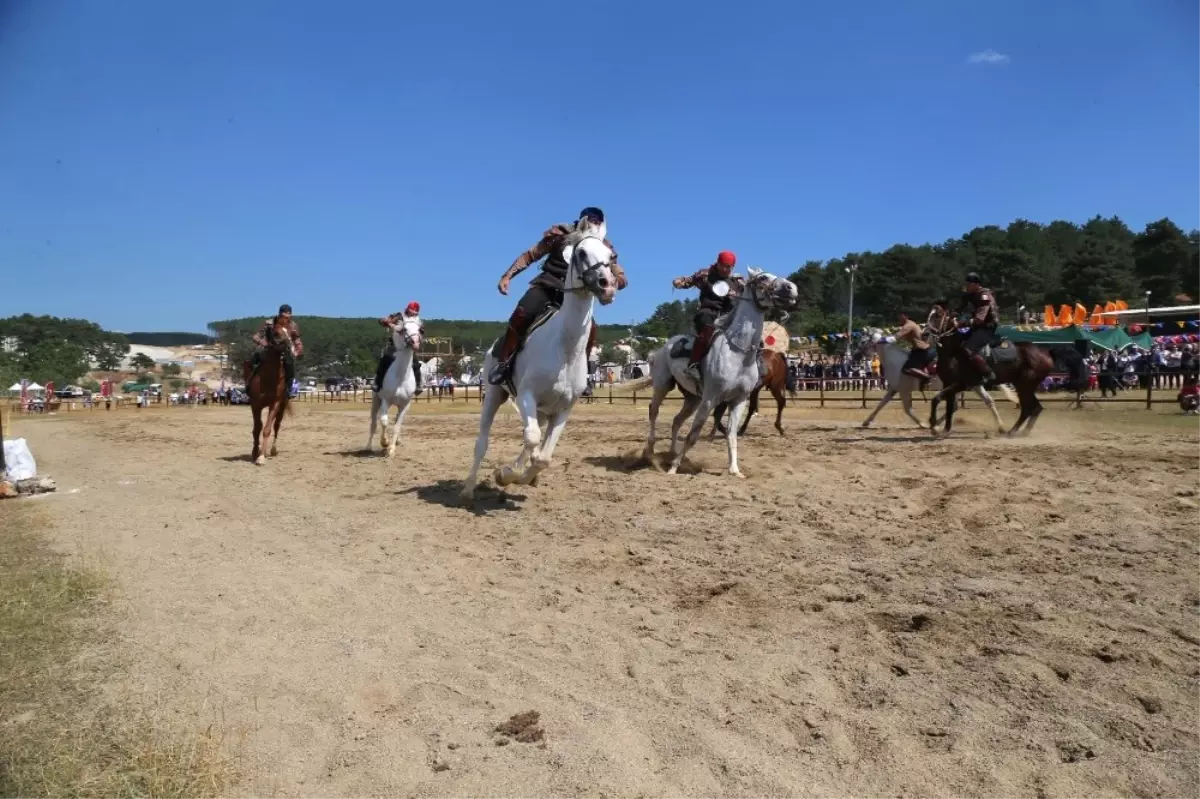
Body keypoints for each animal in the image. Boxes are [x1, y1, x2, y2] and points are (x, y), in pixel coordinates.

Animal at [241, 321, 292, 463]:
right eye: (276, 333)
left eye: (289, 332)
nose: (288, 347)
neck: (269, 378)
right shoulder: (255, 405)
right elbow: (257, 428)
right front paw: (255, 453)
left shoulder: (275, 404)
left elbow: (267, 429)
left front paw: (261, 456)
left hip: (282, 405)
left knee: (277, 425)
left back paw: (273, 450)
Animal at [367, 314, 424, 458]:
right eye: (404, 329)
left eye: (420, 329)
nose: (415, 342)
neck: (401, 377)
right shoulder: (385, 401)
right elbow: (384, 421)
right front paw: (385, 443)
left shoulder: (404, 405)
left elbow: (397, 425)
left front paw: (391, 449)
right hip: (376, 401)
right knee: (374, 423)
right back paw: (368, 446)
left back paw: (396, 441)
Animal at [460, 226, 619, 499]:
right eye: (581, 252)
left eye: (610, 256)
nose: (607, 286)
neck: (565, 350)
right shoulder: (526, 395)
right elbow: (533, 439)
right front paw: (506, 475)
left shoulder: (563, 410)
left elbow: (543, 456)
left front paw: (521, 475)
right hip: (494, 395)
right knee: (483, 442)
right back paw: (468, 490)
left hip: (543, 410)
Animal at [638, 267, 796, 475]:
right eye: (763, 278)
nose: (791, 288)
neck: (738, 354)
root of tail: (664, 348)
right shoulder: (710, 399)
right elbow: (693, 435)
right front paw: (673, 468)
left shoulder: (738, 400)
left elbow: (731, 434)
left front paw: (734, 470)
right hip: (663, 386)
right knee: (653, 411)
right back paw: (651, 451)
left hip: (693, 398)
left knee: (676, 421)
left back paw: (672, 452)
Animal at [921, 309, 1056, 436]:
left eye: (938, 315)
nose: (924, 334)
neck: (954, 354)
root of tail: (1045, 353)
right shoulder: (949, 383)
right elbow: (946, 405)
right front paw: (942, 428)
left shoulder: (963, 384)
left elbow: (938, 399)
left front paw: (934, 426)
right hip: (1023, 386)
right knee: (1036, 407)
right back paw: (1022, 432)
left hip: (1025, 386)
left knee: (1028, 408)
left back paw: (1012, 432)